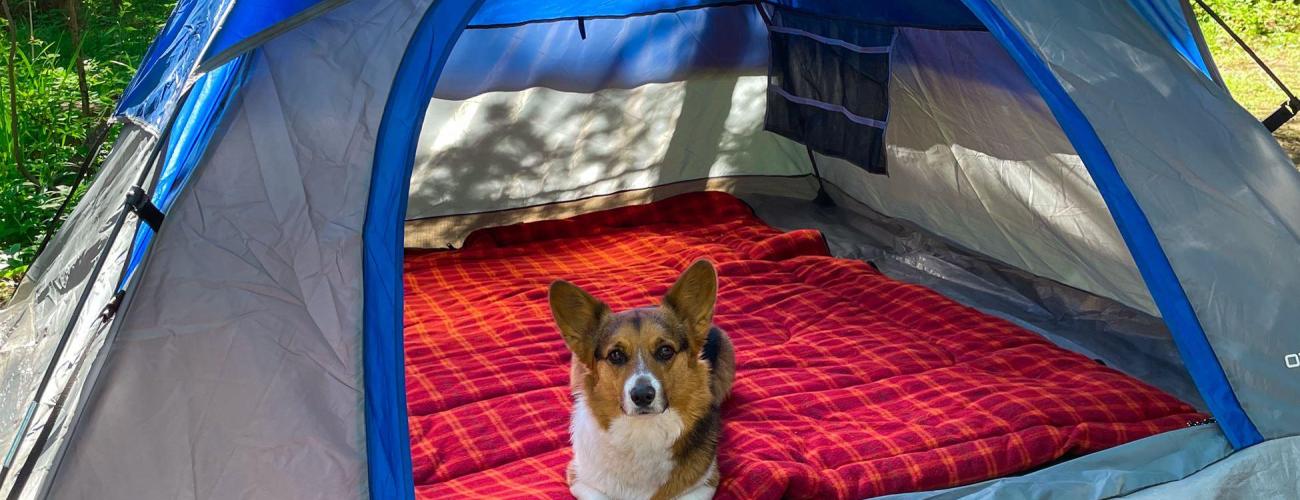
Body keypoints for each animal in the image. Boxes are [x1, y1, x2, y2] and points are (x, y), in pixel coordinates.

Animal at [546, 259, 733, 498]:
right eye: (615, 355)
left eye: (665, 350)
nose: (642, 395)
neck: (642, 430)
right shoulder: (580, 479)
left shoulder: (705, 484)